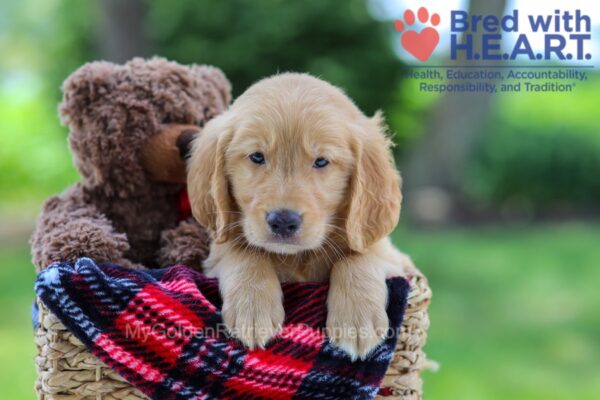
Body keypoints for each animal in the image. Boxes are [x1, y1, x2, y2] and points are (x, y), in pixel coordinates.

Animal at [190, 72, 414, 360]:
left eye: (321, 161)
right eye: (257, 156)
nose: (283, 221)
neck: (297, 258)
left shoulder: (393, 256)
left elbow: (360, 255)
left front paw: (357, 321)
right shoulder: (217, 250)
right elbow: (242, 250)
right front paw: (252, 309)